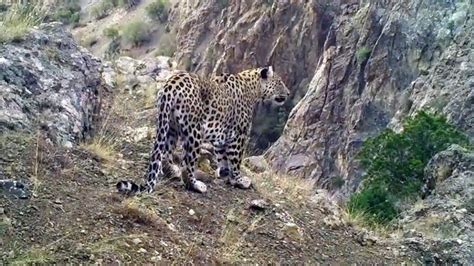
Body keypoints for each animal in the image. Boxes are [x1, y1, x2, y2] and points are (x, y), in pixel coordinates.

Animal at [116, 66, 290, 194]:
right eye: (280, 82)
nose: (288, 93)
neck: (253, 88)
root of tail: (171, 84)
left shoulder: (223, 134)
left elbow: (222, 156)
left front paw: (225, 173)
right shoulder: (239, 135)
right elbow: (235, 160)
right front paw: (239, 180)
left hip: (169, 127)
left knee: (164, 154)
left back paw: (172, 171)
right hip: (194, 133)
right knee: (187, 165)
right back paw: (196, 185)